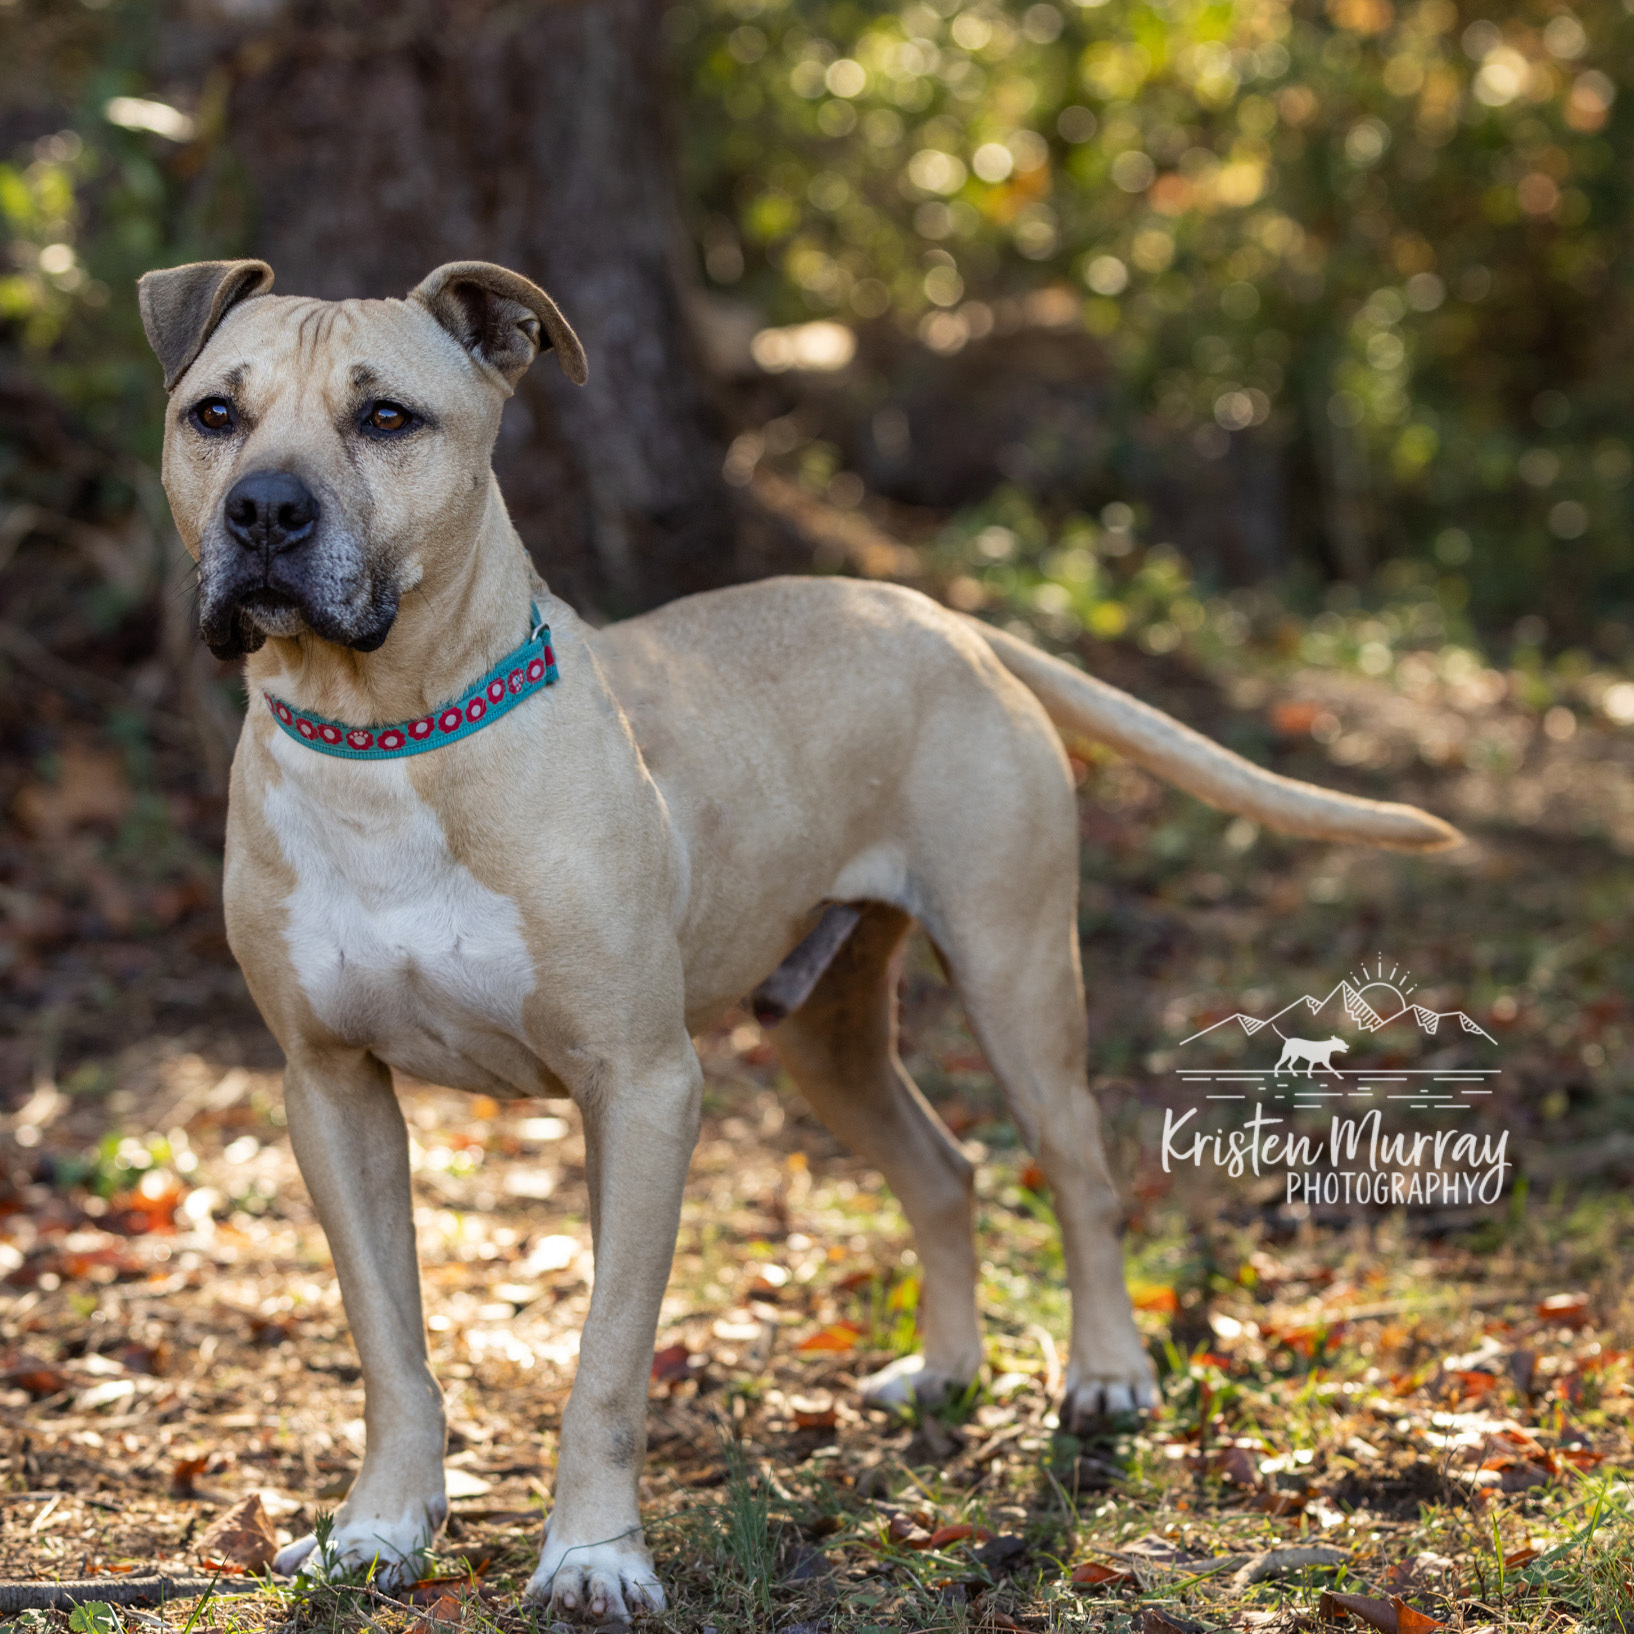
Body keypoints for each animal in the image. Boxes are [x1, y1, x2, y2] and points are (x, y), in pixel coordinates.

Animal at [140, 258, 1464, 1620]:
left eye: (387, 417)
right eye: (213, 414)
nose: (264, 511)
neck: (386, 738)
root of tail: (936, 613)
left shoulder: (641, 1085)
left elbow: (606, 1362)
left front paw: (595, 1555)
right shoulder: (331, 1089)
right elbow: (389, 1345)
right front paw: (380, 1528)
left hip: (1016, 975)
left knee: (1080, 1176)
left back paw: (1104, 1374)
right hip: (826, 1034)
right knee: (944, 1170)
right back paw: (944, 1367)